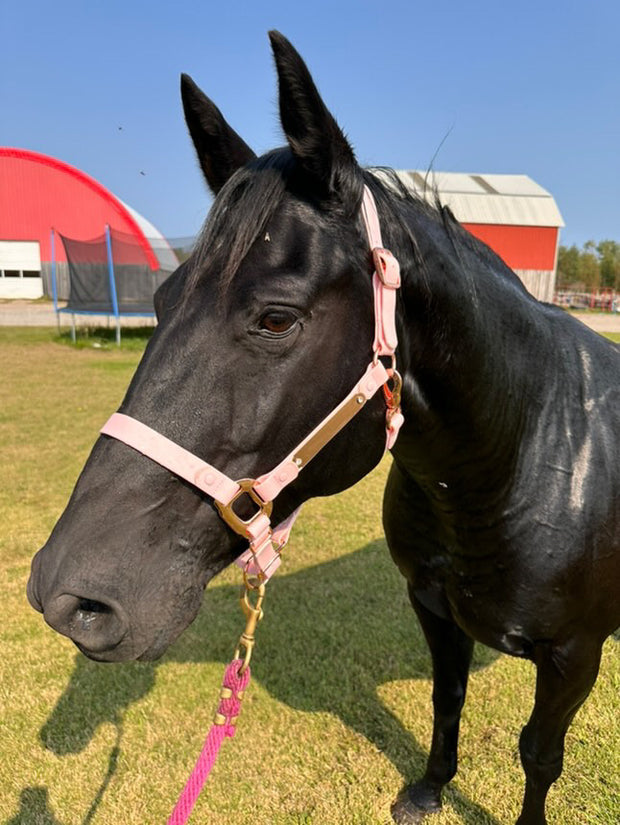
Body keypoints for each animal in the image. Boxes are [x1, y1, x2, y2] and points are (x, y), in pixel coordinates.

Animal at [29, 29, 620, 820]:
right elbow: (447, 697)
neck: (525, 454)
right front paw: (429, 789)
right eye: (161, 298)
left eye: (278, 319)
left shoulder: (572, 656)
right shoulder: (434, 607)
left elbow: (539, 755)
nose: (67, 597)